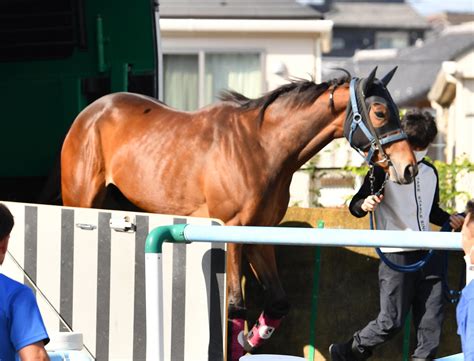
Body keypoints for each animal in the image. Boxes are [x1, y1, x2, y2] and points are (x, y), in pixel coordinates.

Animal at [60, 66, 418, 358]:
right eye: (380, 112)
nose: (409, 168)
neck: (261, 146)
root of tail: (90, 113)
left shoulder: (259, 233)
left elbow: (277, 302)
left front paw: (248, 342)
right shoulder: (232, 229)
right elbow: (235, 305)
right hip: (82, 198)